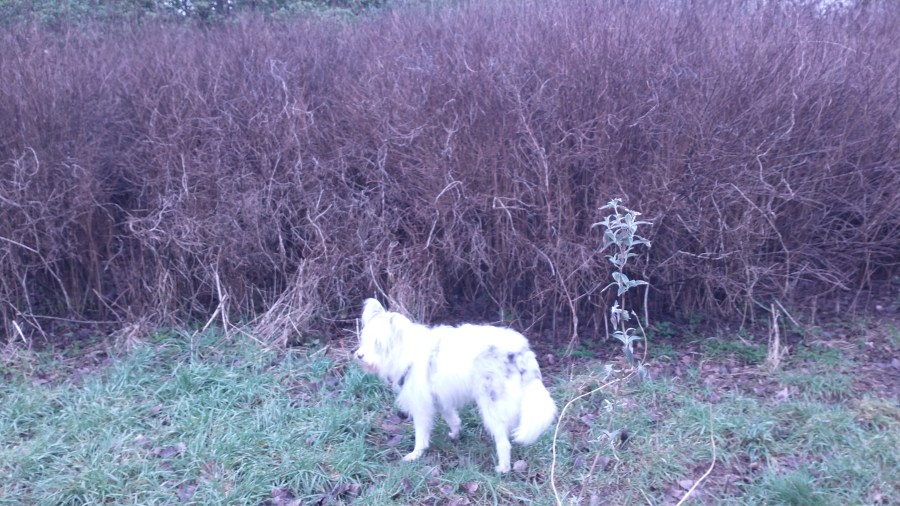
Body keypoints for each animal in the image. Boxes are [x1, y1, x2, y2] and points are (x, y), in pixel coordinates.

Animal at [354, 298, 557, 473]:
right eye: (365, 339)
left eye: (378, 344)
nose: (359, 356)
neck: (405, 351)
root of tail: (521, 353)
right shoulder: (440, 399)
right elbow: (453, 419)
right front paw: (456, 434)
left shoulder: (421, 405)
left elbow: (421, 434)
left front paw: (415, 454)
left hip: (491, 405)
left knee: (503, 442)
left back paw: (503, 468)